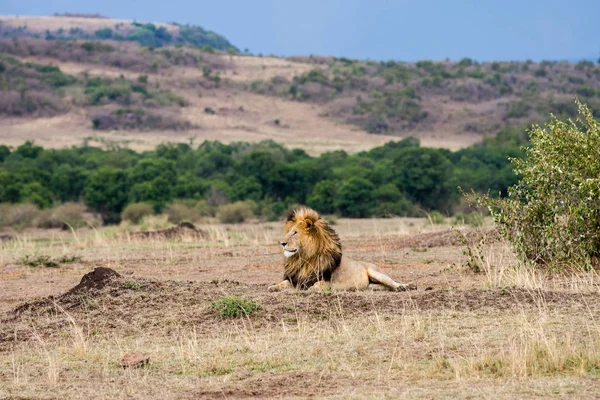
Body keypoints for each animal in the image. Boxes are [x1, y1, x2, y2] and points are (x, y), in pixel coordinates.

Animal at [268, 208, 418, 292]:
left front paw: (311, 289)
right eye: (290, 231)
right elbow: (283, 283)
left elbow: (318, 285)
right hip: (371, 285)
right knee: (384, 287)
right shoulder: (296, 279)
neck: (304, 258)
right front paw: (273, 287)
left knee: (393, 282)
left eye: (295, 232)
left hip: (376, 273)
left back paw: (406, 286)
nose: (282, 243)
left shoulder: (327, 281)